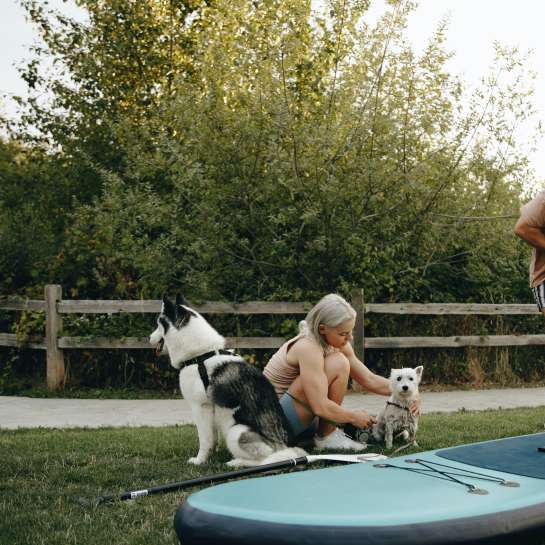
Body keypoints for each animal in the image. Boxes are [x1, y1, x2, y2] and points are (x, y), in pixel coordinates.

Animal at [149, 296, 306, 466]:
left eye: (158, 324)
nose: (148, 338)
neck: (200, 355)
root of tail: (287, 448)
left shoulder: (200, 408)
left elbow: (204, 440)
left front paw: (199, 460)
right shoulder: (210, 410)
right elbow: (212, 439)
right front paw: (211, 455)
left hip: (236, 432)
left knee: (265, 461)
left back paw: (237, 462)